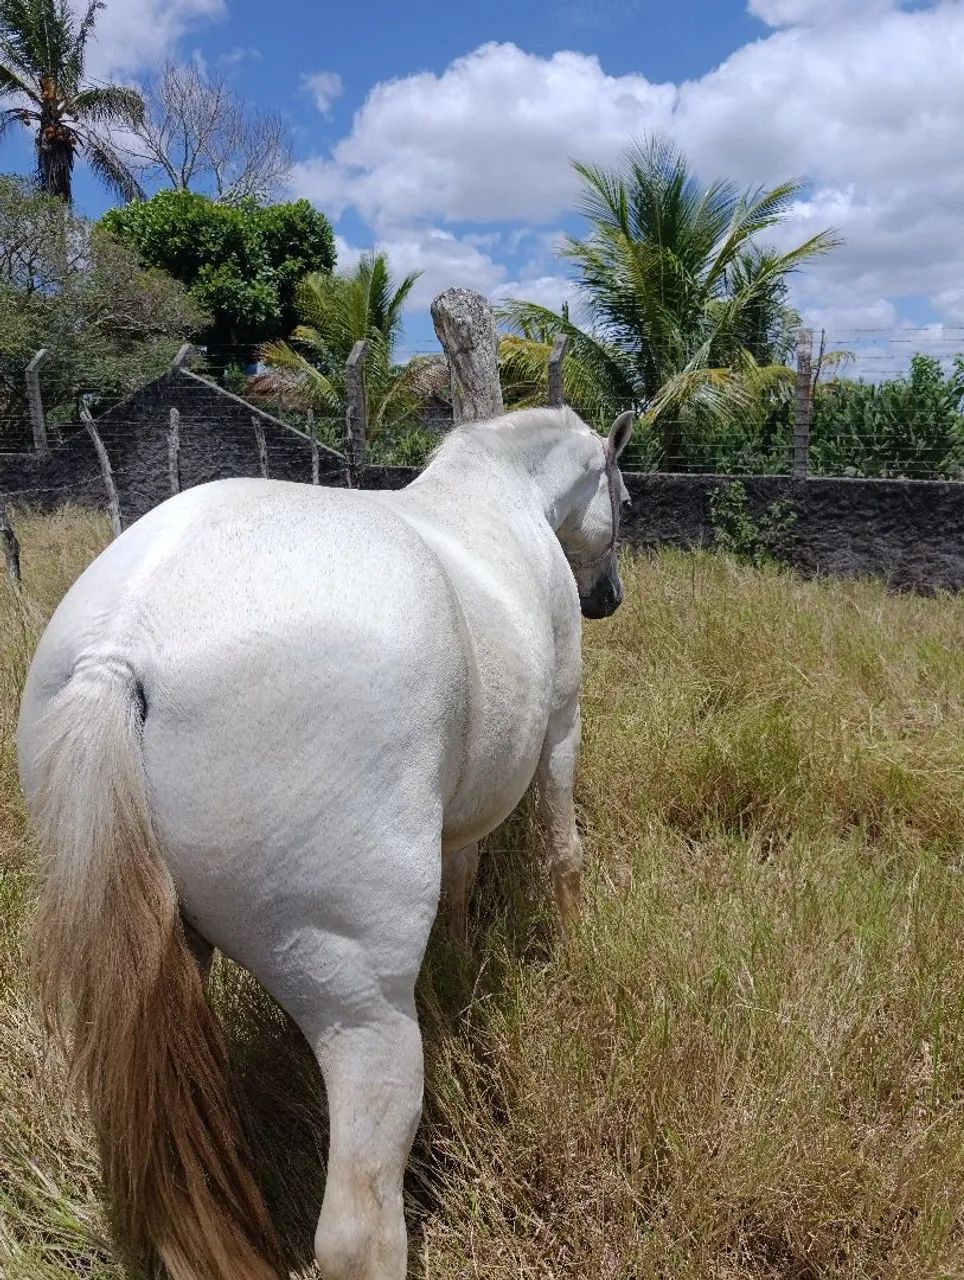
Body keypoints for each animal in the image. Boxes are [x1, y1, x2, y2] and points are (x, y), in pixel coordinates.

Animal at [17, 404, 634, 1280]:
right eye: (625, 497)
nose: (608, 598)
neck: (495, 489)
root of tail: (122, 651)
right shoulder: (561, 720)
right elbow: (560, 845)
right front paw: (575, 940)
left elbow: (460, 877)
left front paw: (457, 970)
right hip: (359, 1010)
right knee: (357, 1231)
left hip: (168, 962)